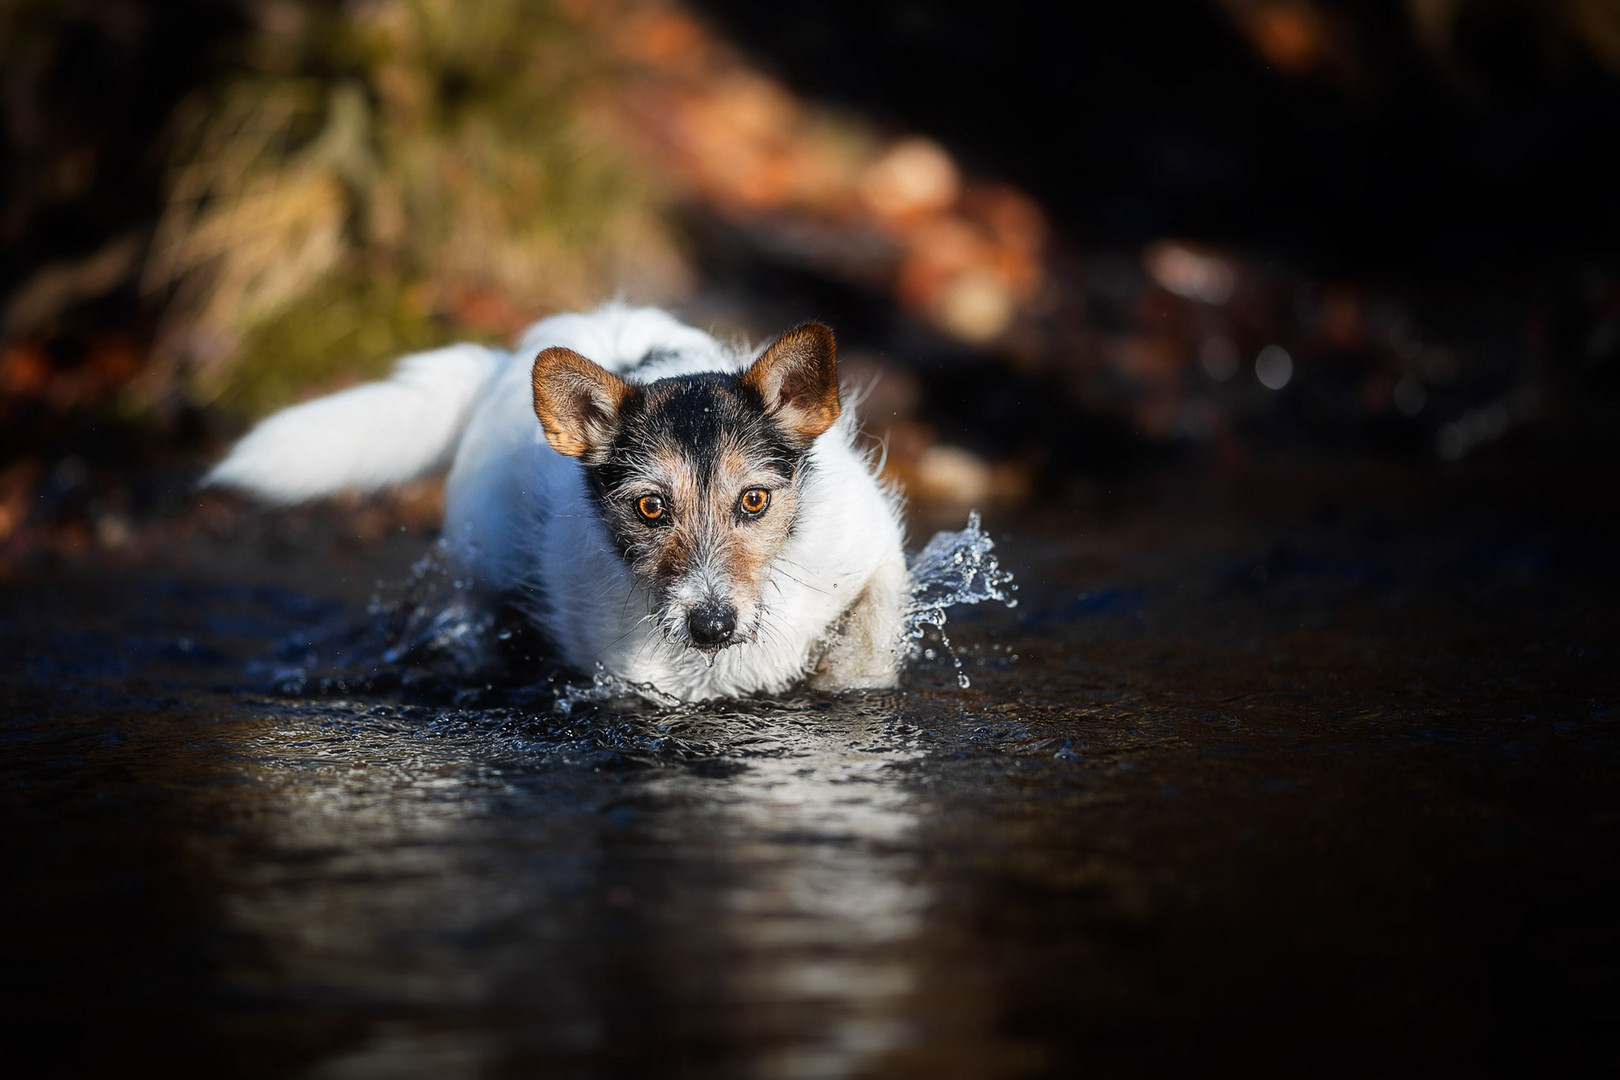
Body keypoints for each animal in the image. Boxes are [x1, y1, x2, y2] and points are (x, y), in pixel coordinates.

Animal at [205, 304, 913, 702]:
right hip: (483, 563)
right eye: (650, 508)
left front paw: (845, 676)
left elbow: (874, 625)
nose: (710, 624)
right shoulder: (636, 683)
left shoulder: (872, 547)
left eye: (756, 500)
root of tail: (499, 366)